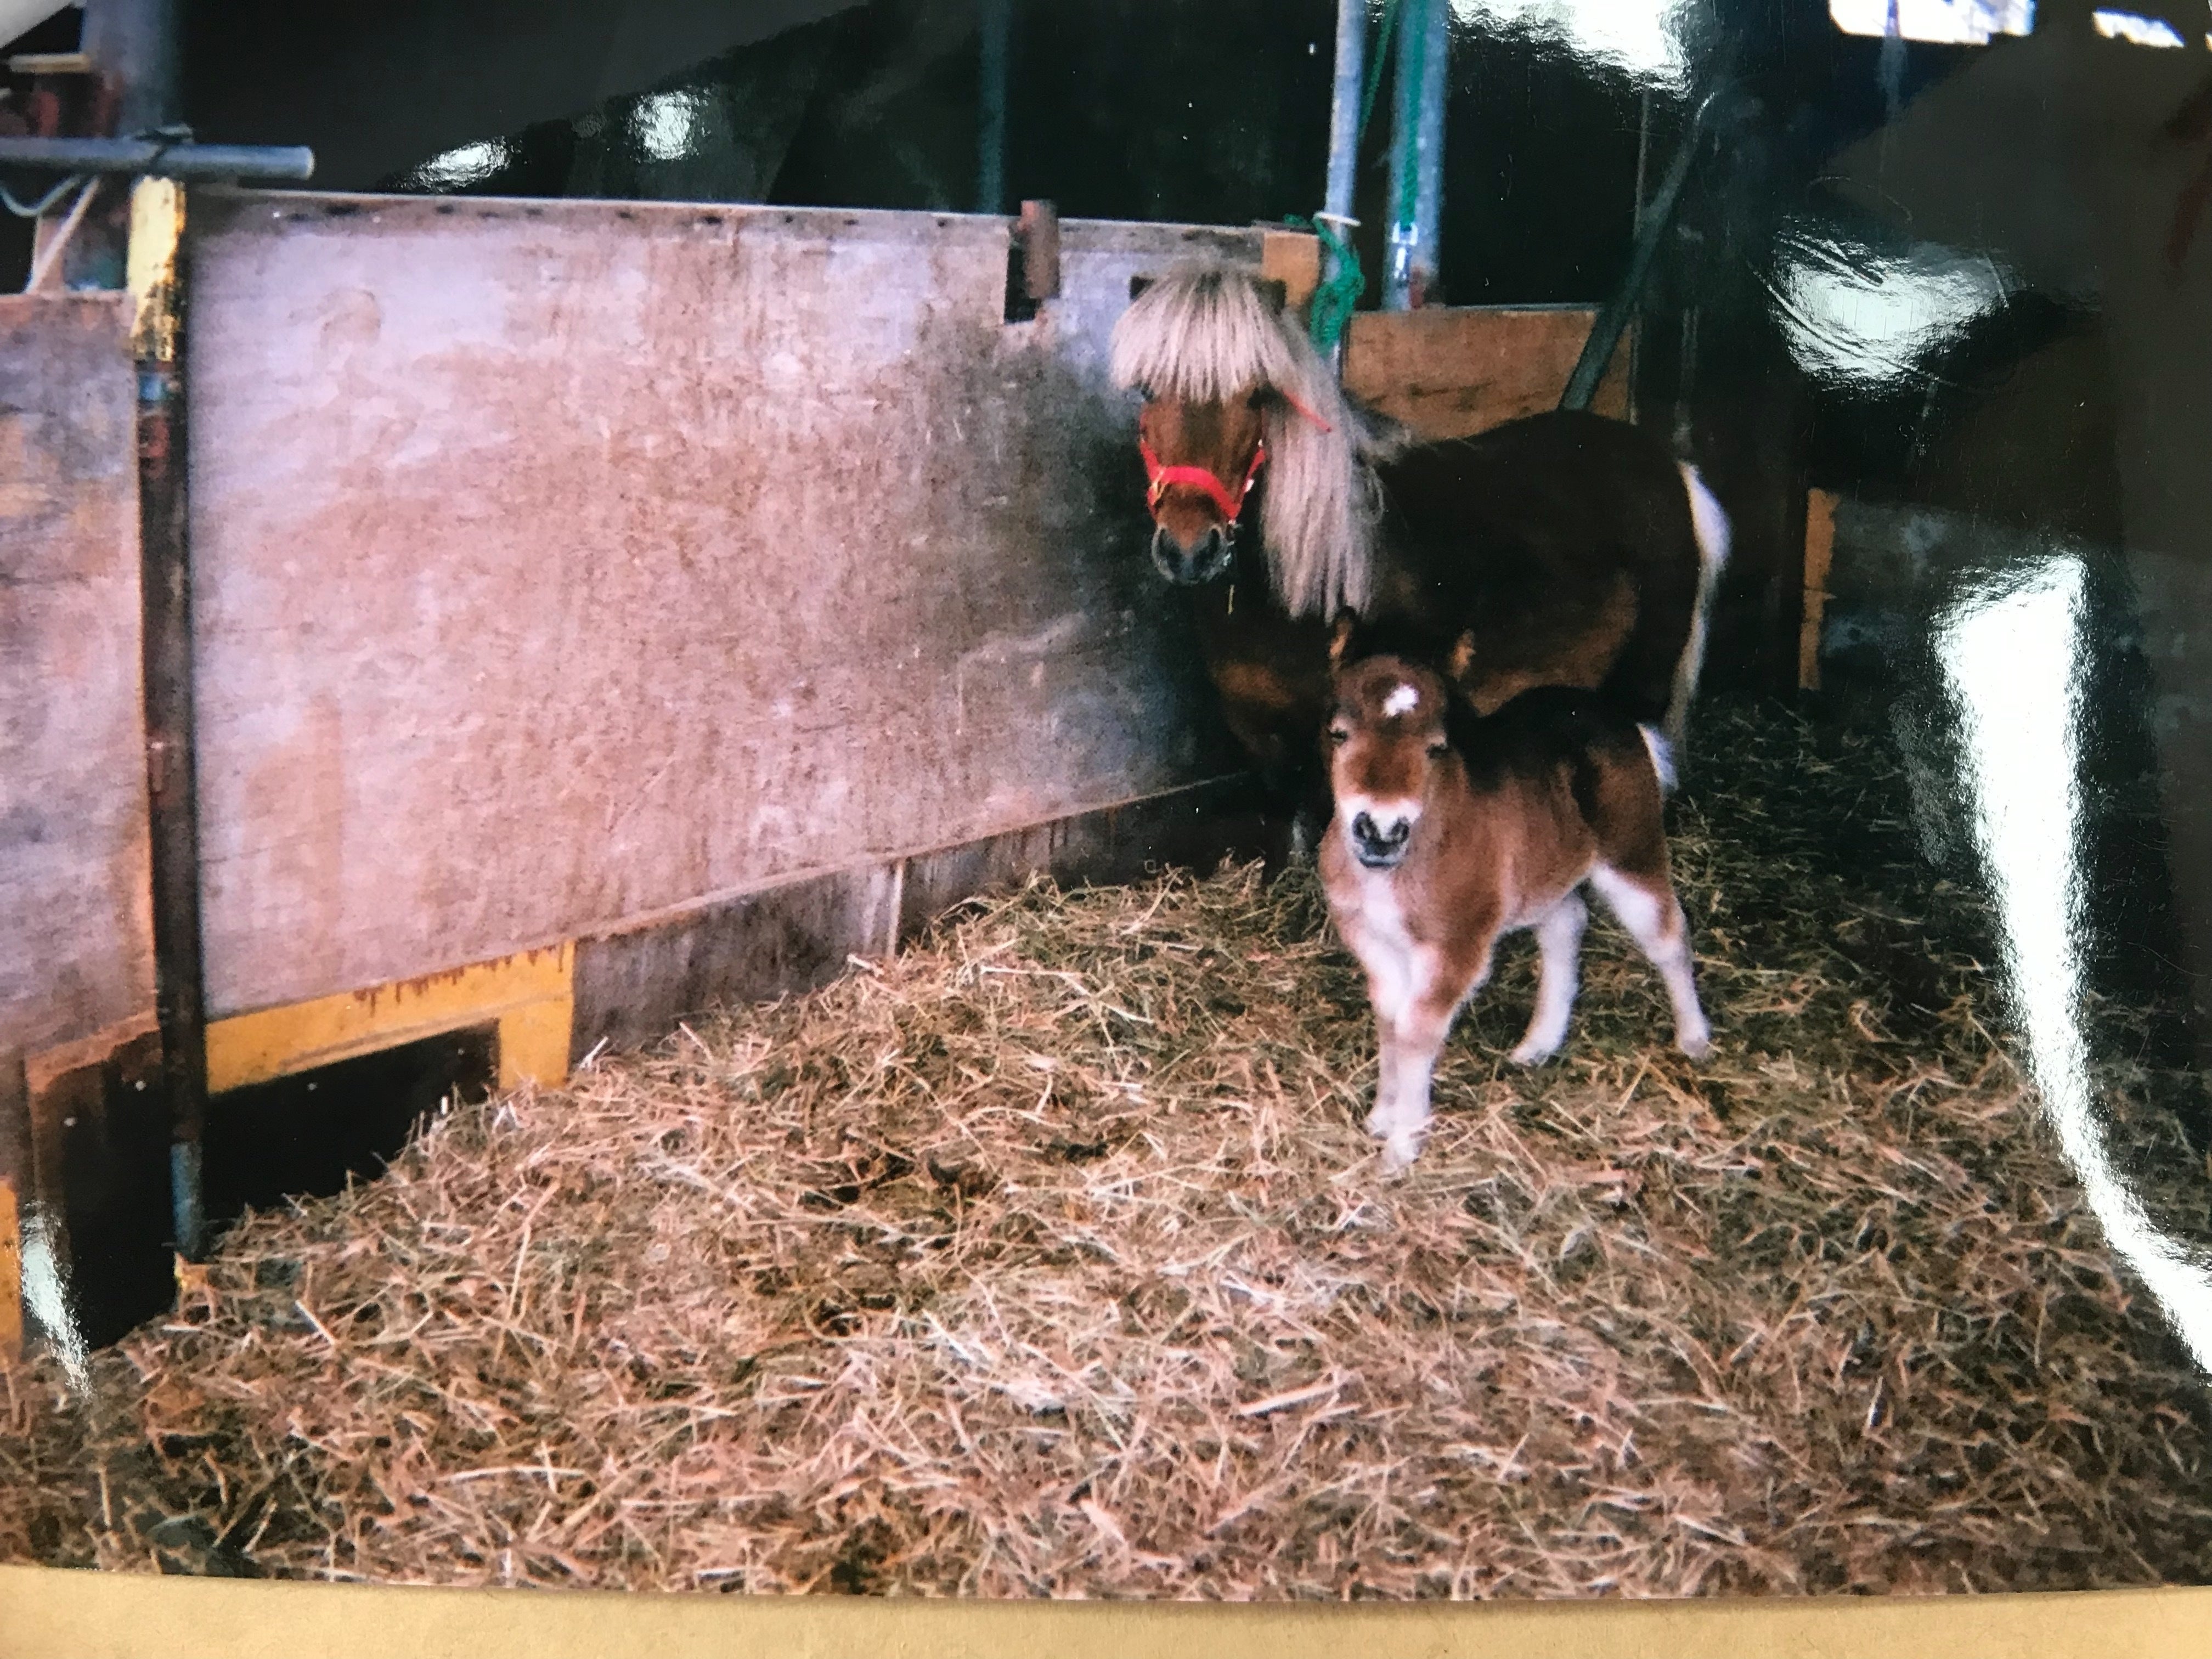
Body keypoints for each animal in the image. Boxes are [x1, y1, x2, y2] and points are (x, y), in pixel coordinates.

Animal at [1107, 264, 1731, 844]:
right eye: (1148, 391)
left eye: (1256, 395)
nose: (1191, 550)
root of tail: (1670, 466)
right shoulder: (1265, 738)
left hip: (1644, 681)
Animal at [1318, 623, 1712, 1172]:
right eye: (1339, 734)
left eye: (1437, 747)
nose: (1380, 829)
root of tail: (1616, 717)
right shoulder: (1368, 938)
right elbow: (1390, 1019)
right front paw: (1382, 1115)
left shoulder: (1457, 947)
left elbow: (1417, 1029)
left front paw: (1402, 1145)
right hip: (1544, 870)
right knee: (1567, 924)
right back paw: (1538, 1045)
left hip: (1632, 853)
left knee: (1668, 935)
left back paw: (1694, 1038)